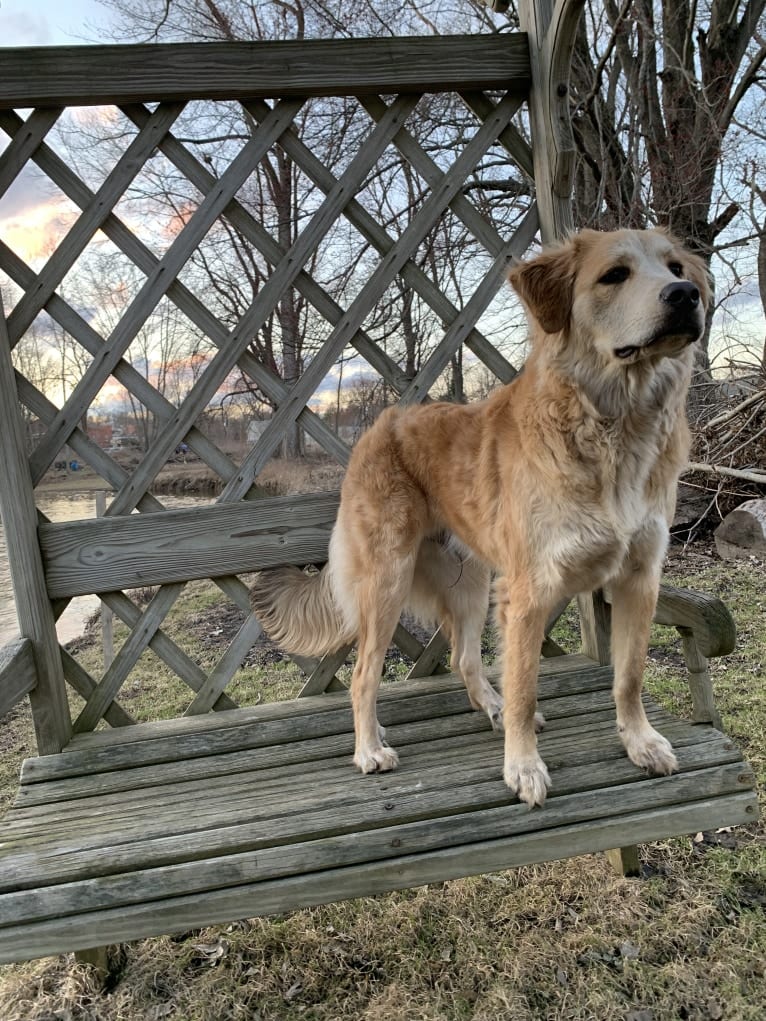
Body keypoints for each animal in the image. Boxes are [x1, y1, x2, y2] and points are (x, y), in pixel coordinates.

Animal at [252, 229, 714, 804]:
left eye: (677, 268)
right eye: (614, 275)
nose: (685, 296)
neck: (615, 426)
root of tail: (379, 425)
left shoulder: (638, 579)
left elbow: (628, 675)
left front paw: (639, 742)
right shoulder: (529, 592)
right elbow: (526, 686)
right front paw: (523, 767)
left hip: (471, 582)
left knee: (463, 658)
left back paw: (487, 706)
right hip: (387, 583)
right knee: (363, 675)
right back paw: (370, 746)